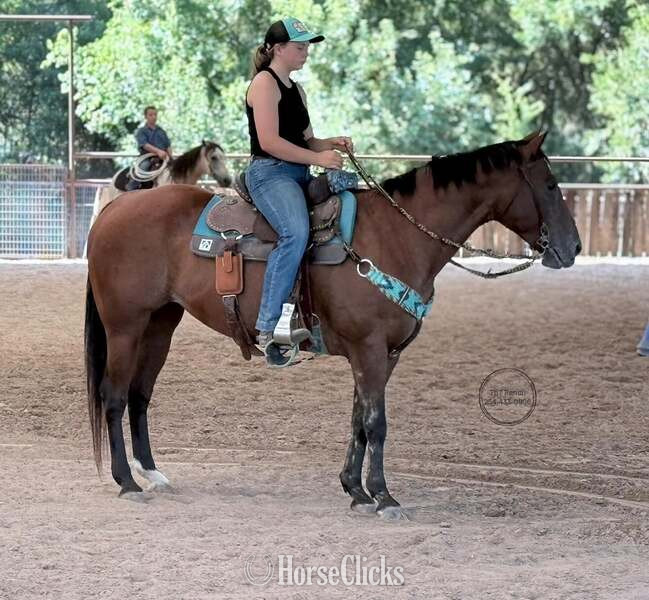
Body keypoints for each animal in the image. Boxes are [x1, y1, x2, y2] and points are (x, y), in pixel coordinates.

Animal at [84, 131, 581, 517]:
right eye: (550, 184)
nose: (573, 248)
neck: (396, 236)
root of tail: (115, 210)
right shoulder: (370, 348)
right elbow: (377, 423)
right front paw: (384, 496)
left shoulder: (383, 354)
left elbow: (359, 418)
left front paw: (355, 490)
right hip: (125, 326)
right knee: (113, 395)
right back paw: (127, 482)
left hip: (160, 324)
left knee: (140, 395)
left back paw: (153, 475)